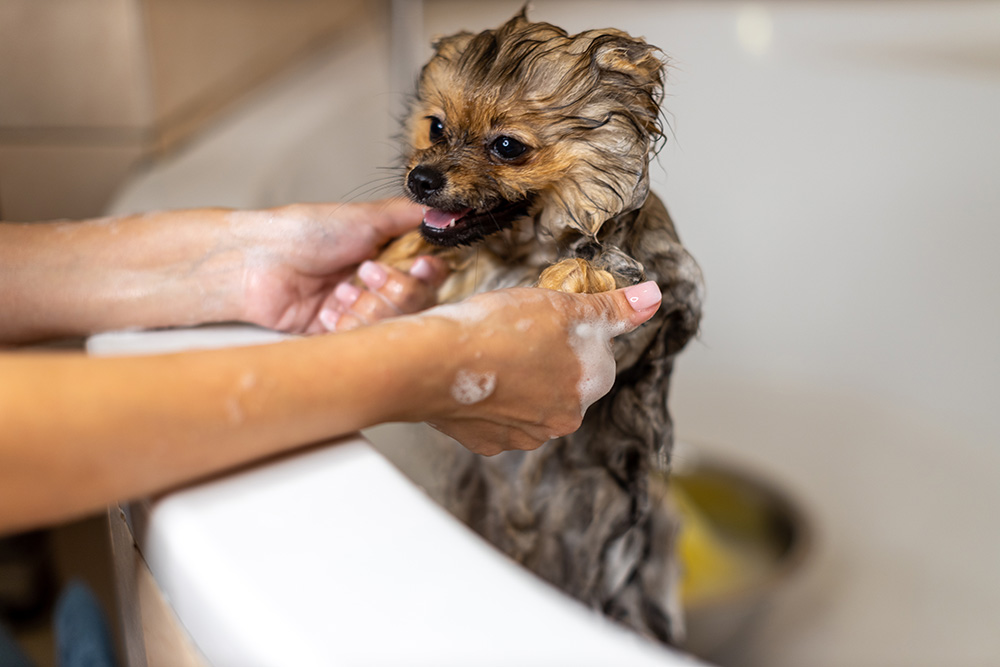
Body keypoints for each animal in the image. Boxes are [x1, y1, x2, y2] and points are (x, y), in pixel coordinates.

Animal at [380, 10, 704, 644]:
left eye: (507, 146)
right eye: (435, 128)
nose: (422, 179)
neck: (517, 254)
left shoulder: (650, 286)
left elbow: (588, 266)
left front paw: (556, 284)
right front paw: (390, 258)